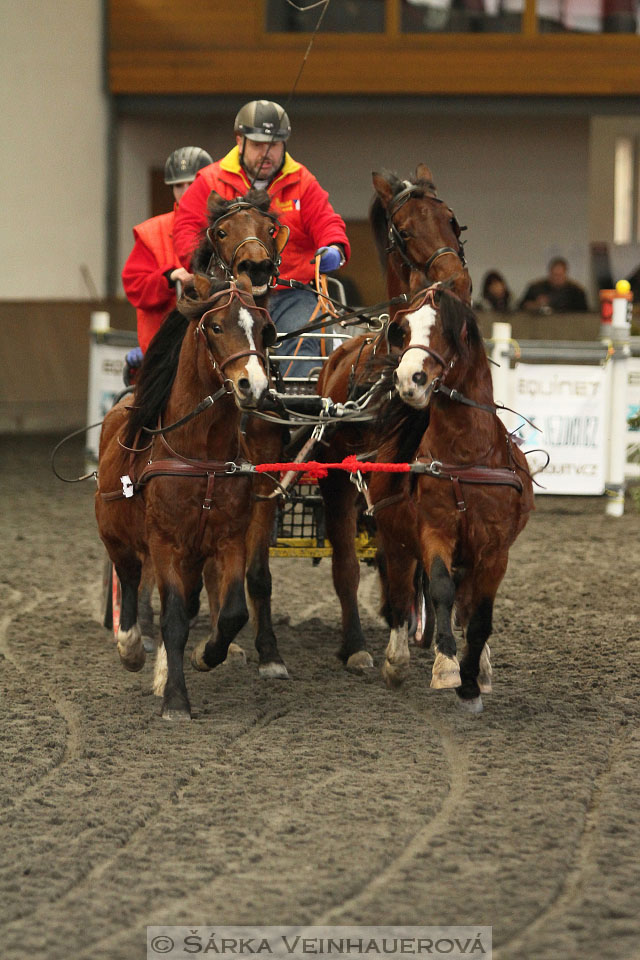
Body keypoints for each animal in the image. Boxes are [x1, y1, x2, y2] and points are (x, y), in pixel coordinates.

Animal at [95, 274, 278, 716]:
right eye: (216, 327)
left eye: (264, 329)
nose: (253, 385)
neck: (202, 455)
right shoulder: (165, 542)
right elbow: (173, 618)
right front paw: (176, 699)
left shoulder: (228, 539)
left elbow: (231, 612)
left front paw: (205, 656)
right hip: (117, 537)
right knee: (129, 581)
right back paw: (130, 647)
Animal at [316, 165, 470, 672]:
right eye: (403, 231)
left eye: (452, 220)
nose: (456, 281)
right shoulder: (341, 482)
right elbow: (348, 566)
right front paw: (357, 645)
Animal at [370, 288, 536, 708]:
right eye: (404, 329)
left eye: (447, 330)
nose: (408, 379)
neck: (466, 457)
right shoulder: (435, 530)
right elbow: (441, 589)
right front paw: (446, 666)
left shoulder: (495, 549)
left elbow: (480, 615)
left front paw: (473, 678)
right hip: (396, 543)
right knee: (400, 596)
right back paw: (397, 659)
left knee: (467, 603)